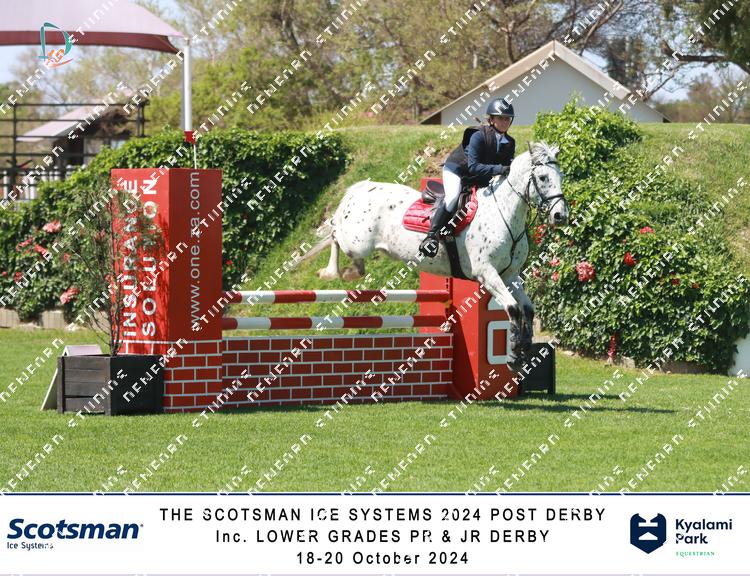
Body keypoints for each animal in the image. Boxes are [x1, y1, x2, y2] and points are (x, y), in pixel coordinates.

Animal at [316, 141, 568, 368]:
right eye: (543, 178)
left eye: (561, 176)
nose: (560, 216)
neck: (503, 213)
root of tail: (362, 189)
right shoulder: (487, 273)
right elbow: (513, 308)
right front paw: (514, 353)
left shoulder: (510, 275)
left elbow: (527, 309)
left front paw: (524, 347)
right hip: (356, 241)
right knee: (335, 233)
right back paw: (330, 271)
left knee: (351, 254)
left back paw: (348, 271)